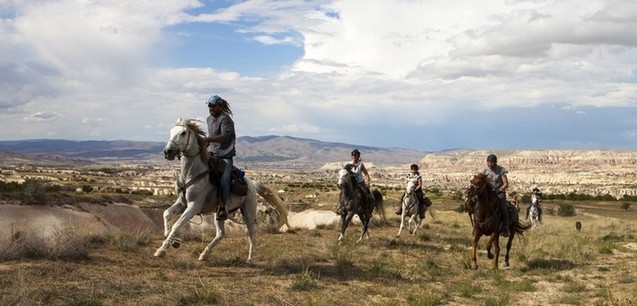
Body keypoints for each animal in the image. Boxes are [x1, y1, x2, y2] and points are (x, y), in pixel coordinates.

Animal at [155, 118, 290, 262]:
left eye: (183, 133)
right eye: (171, 131)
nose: (167, 151)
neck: (191, 173)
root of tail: (252, 184)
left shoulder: (194, 206)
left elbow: (177, 224)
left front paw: (162, 250)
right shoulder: (182, 203)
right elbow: (166, 213)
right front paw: (171, 237)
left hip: (248, 213)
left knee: (251, 236)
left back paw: (249, 259)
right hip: (219, 213)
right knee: (221, 234)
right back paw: (204, 254)